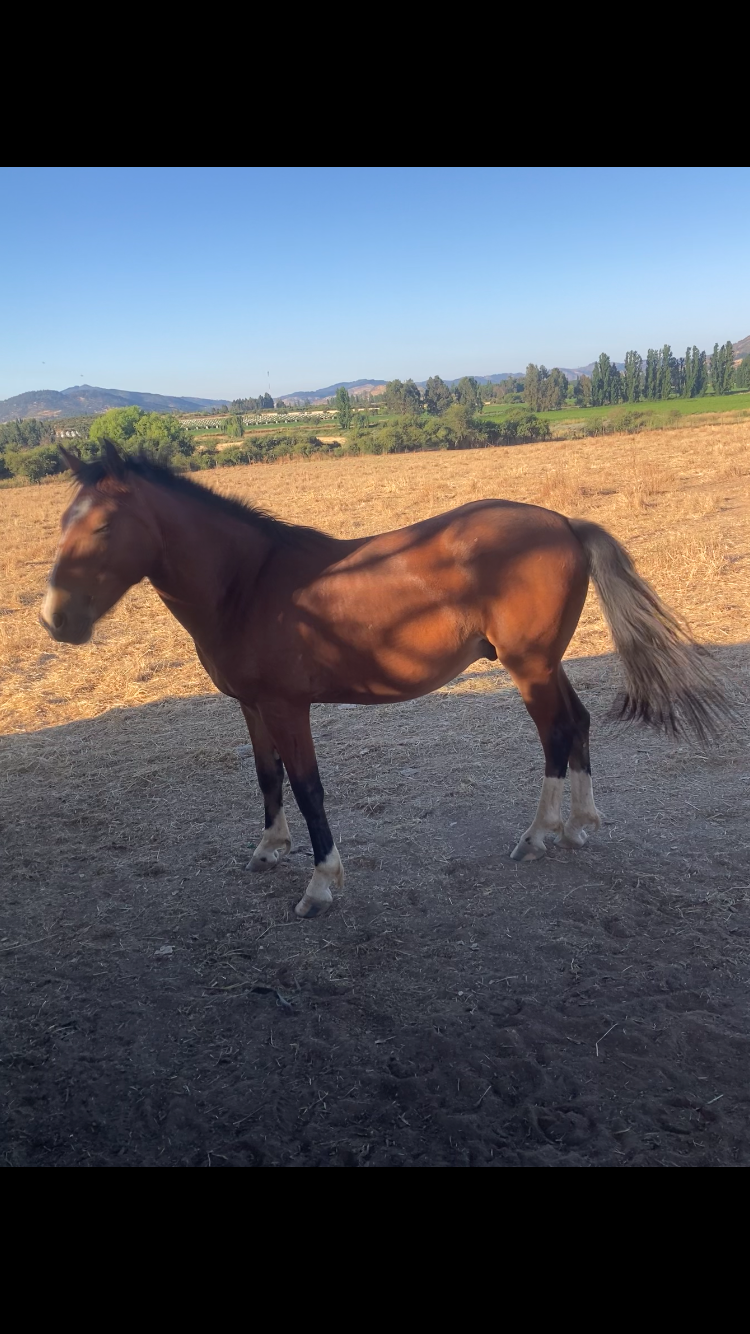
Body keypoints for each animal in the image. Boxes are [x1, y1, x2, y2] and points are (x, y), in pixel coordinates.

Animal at [41, 441, 729, 918]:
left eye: (102, 526)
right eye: (61, 523)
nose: (55, 619)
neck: (250, 582)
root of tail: (562, 523)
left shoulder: (289, 708)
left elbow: (307, 787)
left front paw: (322, 884)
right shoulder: (252, 707)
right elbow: (267, 776)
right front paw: (269, 849)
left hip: (529, 667)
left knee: (557, 733)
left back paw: (539, 835)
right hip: (546, 664)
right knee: (579, 723)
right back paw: (580, 825)